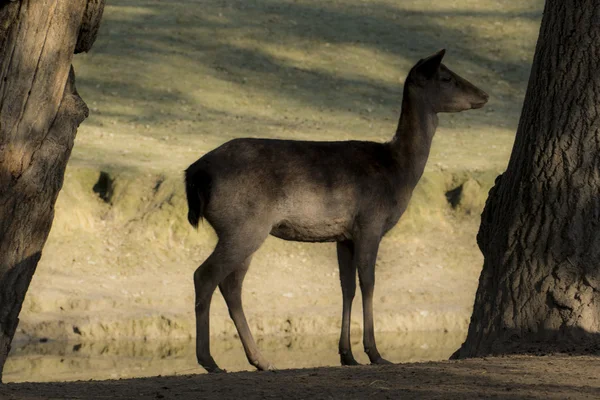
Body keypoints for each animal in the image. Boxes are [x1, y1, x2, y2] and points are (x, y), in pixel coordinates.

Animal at [184, 49, 488, 372]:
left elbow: (347, 287)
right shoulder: (370, 222)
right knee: (205, 275)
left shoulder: (344, 236)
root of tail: (195, 173)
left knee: (231, 285)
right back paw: (210, 361)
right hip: (244, 225)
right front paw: (375, 353)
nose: (484, 94)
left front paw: (347, 355)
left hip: (243, 229)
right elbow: (368, 282)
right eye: (446, 76)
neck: (399, 171)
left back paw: (260, 360)